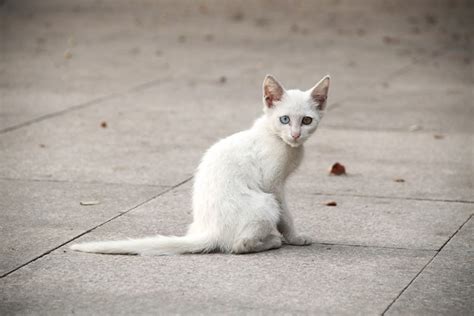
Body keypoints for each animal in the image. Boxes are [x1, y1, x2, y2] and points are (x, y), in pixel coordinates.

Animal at [70, 75, 330, 256]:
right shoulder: (273, 185)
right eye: (284, 119)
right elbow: (286, 216)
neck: (277, 138)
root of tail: (210, 231)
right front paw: (295, 237)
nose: (295, 135)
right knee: (239, 245)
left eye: (306, 120)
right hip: (265, 203)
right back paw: (271, 242)